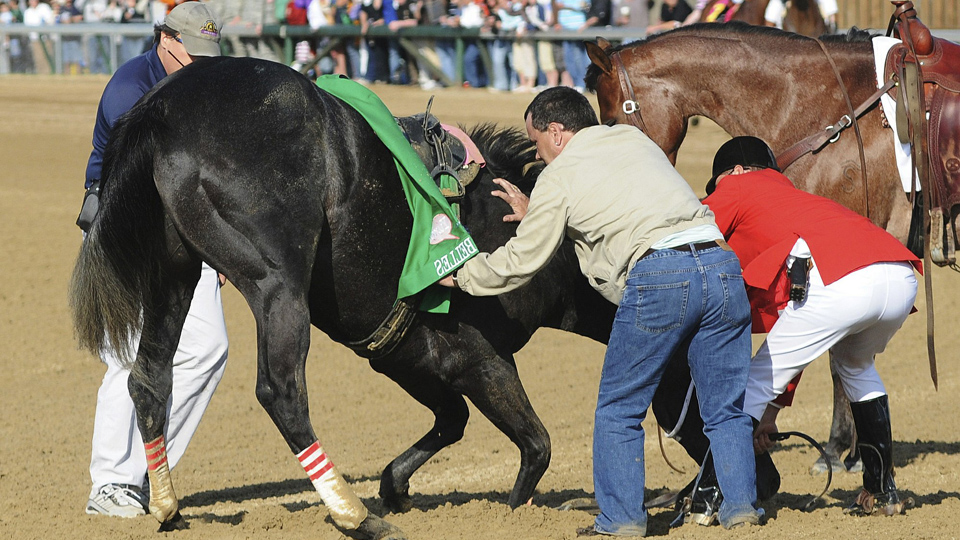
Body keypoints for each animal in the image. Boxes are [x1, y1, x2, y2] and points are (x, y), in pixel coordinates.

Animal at [69, 56, 624, 540]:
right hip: (278, 287)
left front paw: (397, 488)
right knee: (282, 394)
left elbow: (453, 421)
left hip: (173, 277)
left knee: (149, 380)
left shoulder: (407, 358)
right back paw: (354, 516)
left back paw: (169, 508)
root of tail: (165, 108)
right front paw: (516, 512)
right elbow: (535, 444)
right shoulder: (480, 358)